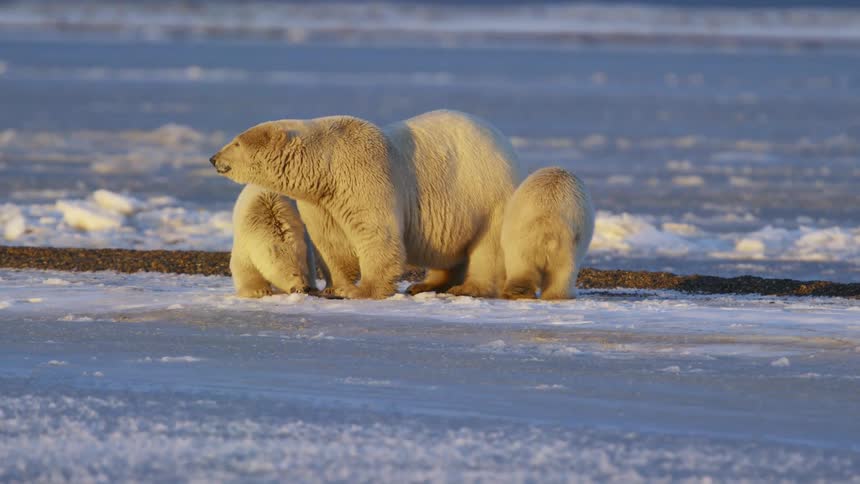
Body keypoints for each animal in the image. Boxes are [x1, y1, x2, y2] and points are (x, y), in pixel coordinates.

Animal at [210, 110, 521, 299]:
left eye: (236, 142)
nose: (213, 158)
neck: (327, 164)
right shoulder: (321, 201)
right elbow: (330, 242)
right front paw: (335, 287)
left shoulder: (365, 175)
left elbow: (376, 233)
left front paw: (362, 290)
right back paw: (425, 284)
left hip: (486, 194)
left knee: (486, 247)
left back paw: (468, 287)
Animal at [500, 167, 594, 300]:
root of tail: (546, 221)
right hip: (567, 243)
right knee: (563, 271)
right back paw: (562, 295)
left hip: (520, 241)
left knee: (521, 267)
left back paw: (519, 292)